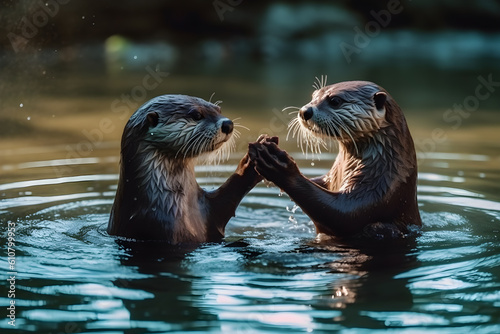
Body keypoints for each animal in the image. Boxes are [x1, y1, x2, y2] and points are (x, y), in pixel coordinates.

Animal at [250, 79, 422, 239]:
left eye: (335, 101)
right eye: (314, 96)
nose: (305, 111)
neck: (384, 163)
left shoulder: (380, 191)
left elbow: (343, 216)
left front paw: (279, 166)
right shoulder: (333, 176)